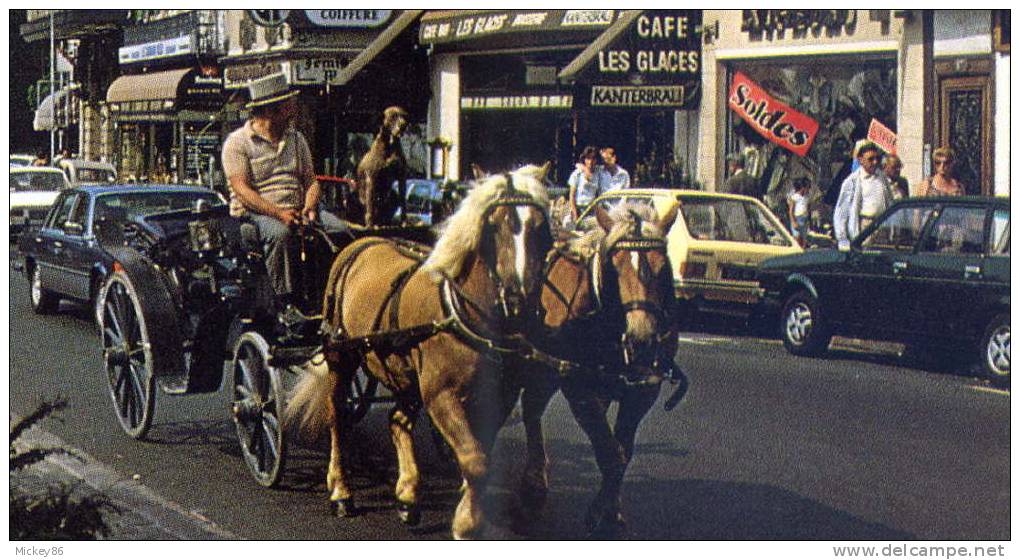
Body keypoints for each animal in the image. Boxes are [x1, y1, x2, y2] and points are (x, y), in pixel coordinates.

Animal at [287, 165, 554, 538]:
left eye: (541, 228)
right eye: (494, 226)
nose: (520, 302)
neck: (462, 312)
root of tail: (360, 242)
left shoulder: (500, 396)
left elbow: (480, 453)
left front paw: (464, 507)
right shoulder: (440, 394)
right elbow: (475, 459)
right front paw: (466, 523)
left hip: (402, 370)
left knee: (397, 419)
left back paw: (408, 494)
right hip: (342, 356)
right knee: (337, 417)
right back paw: (341, 491)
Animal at [510, 201, 685, 538]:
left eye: (663, 269)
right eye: (614, 269)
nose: (641, 339)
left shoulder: (642, 392)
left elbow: (622, 452)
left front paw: (610, 510)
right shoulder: (579, 388)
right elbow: (609, 453)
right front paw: (597, 513)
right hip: (542, 368)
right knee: (532, 410)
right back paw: (533, 486)